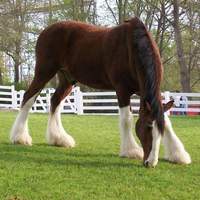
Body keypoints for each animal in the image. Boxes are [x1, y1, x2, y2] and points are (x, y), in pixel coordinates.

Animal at [9, 16, 191, 167]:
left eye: (159, 131)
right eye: (147, 128)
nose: (150, 163)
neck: (133, 48)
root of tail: (46, 30)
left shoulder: (144, 92)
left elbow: (166, 120)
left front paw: (178, 154)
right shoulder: (122, 89)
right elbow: (127, 119)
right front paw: (131, 151)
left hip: (67, 79)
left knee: (56, 101)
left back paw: (59, 139)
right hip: (44, 71)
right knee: (28, 98)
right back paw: (20, 137)